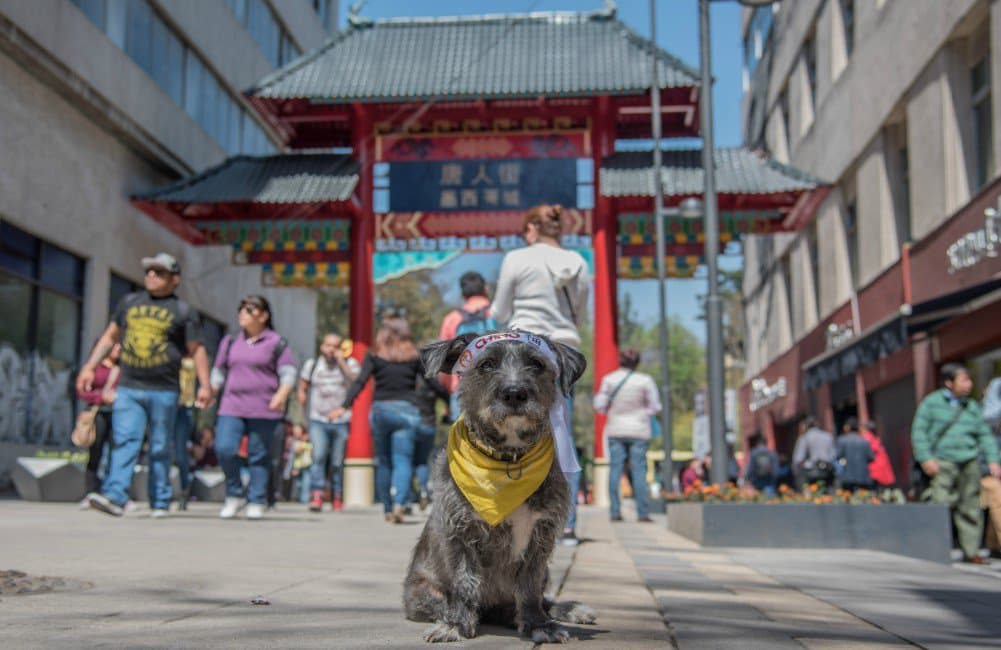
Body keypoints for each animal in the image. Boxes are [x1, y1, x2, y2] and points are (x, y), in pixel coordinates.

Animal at [402, 332, 596, 640]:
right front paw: (456, 625)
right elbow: (463, 580)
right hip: (422, 594)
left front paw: (538, 625)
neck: (508, 461)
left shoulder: (541, 537)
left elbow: (529, 587)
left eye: (536, 363)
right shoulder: (460, 532)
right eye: (487, 364)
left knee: (541, 598)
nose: (514, 393)